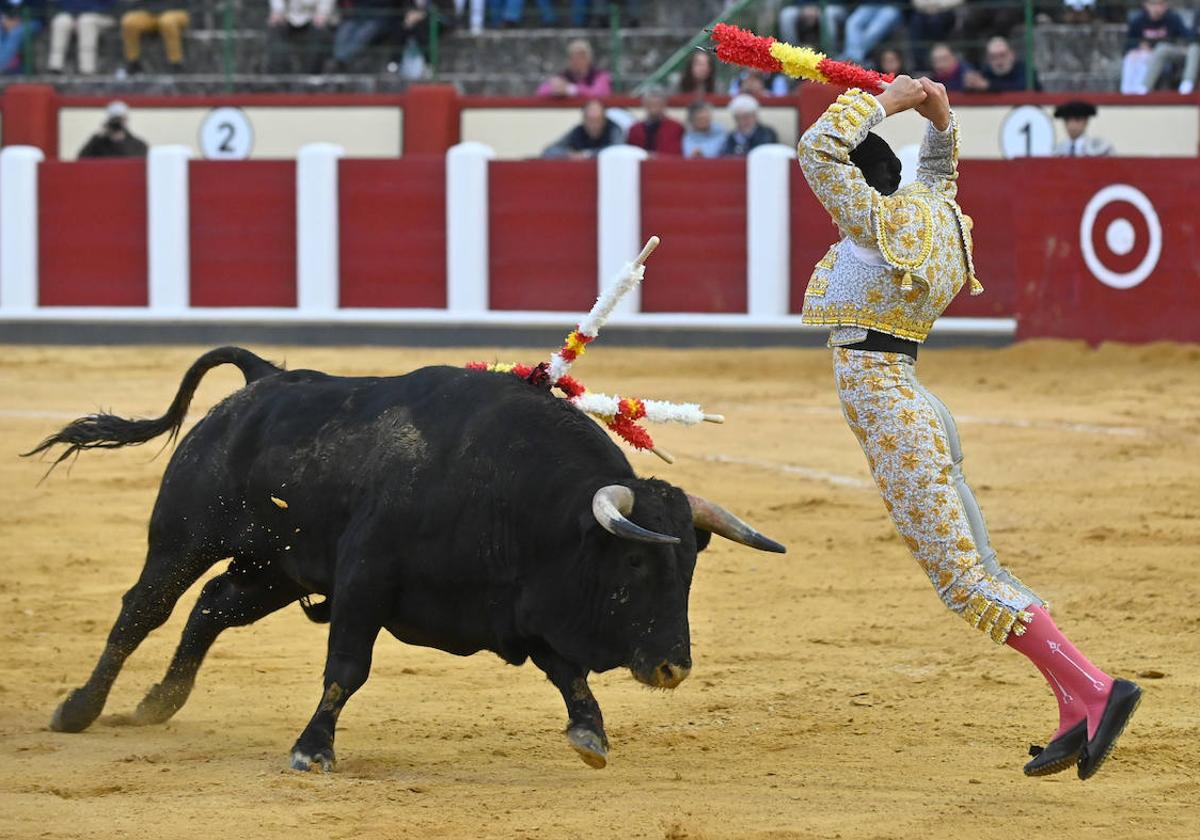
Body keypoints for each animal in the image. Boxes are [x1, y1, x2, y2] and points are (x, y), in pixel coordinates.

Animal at [30, 345, 787, 768]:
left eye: (689, 569)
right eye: (635, 564)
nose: (673, 668)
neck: (521, 499)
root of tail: (262, 379)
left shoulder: (520, 607)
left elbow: (567, 673)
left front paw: (590, 737)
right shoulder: (365, 581)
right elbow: (347, 669)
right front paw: (312, 750)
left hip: (274, 570)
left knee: (213, 609)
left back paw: (159, 702)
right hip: (185, 537)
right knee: (144, 611)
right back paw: (79, 710)